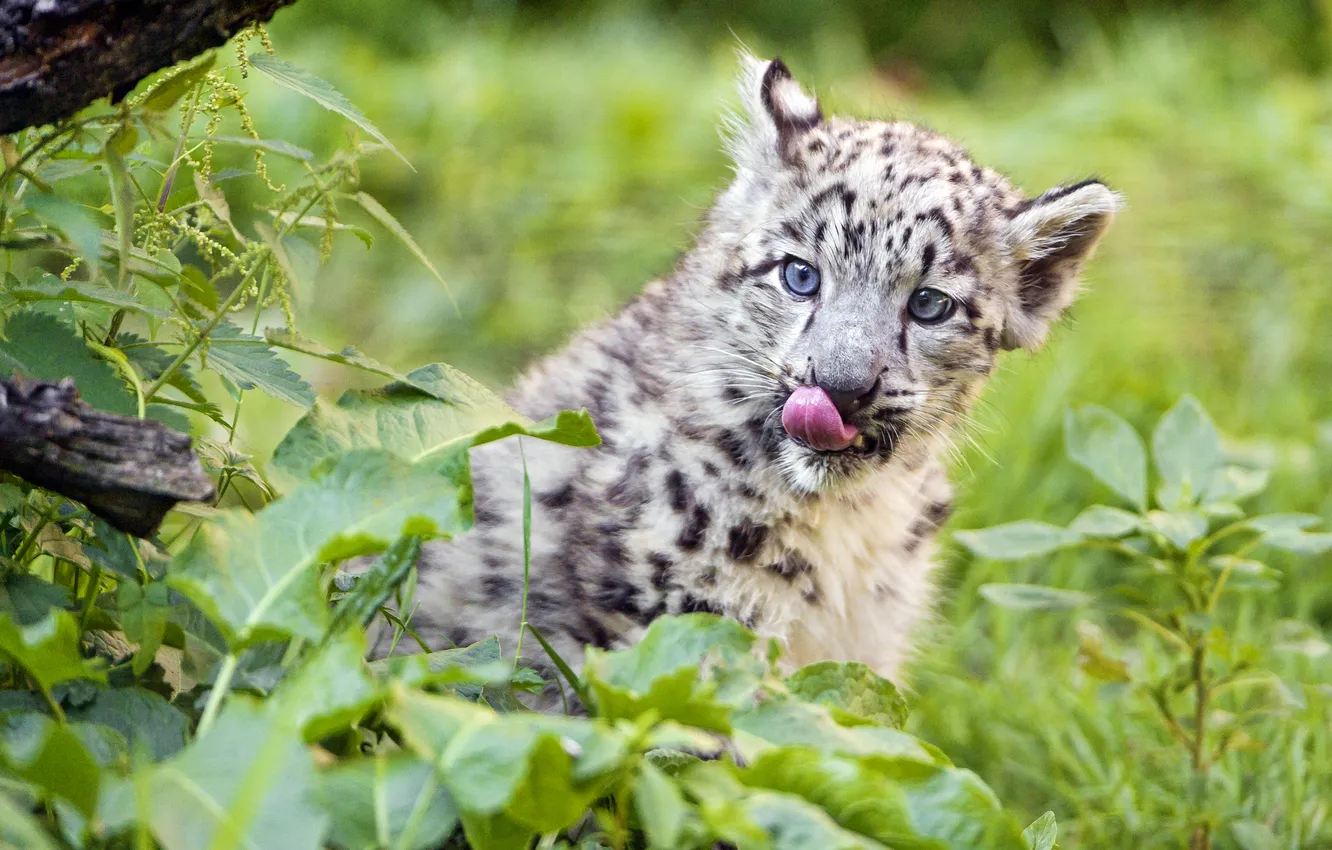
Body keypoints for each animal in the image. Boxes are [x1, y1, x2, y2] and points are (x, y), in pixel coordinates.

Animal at [373, 54, 1121, 701]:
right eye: (799, 275)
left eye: (930, 304)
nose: (840, 386)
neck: (847, 522)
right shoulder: (691, 624)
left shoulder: (868, 650)